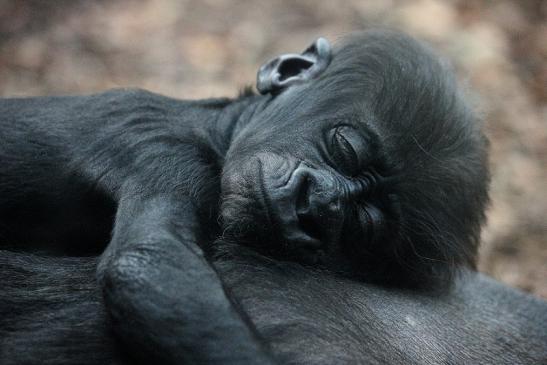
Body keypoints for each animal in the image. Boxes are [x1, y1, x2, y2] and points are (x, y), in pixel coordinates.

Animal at [1, 30, 544, 364]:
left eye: (361, 224)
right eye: (345, 147)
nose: (317, 204)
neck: (215, 130)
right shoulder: (164, 152)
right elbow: (148, 262)